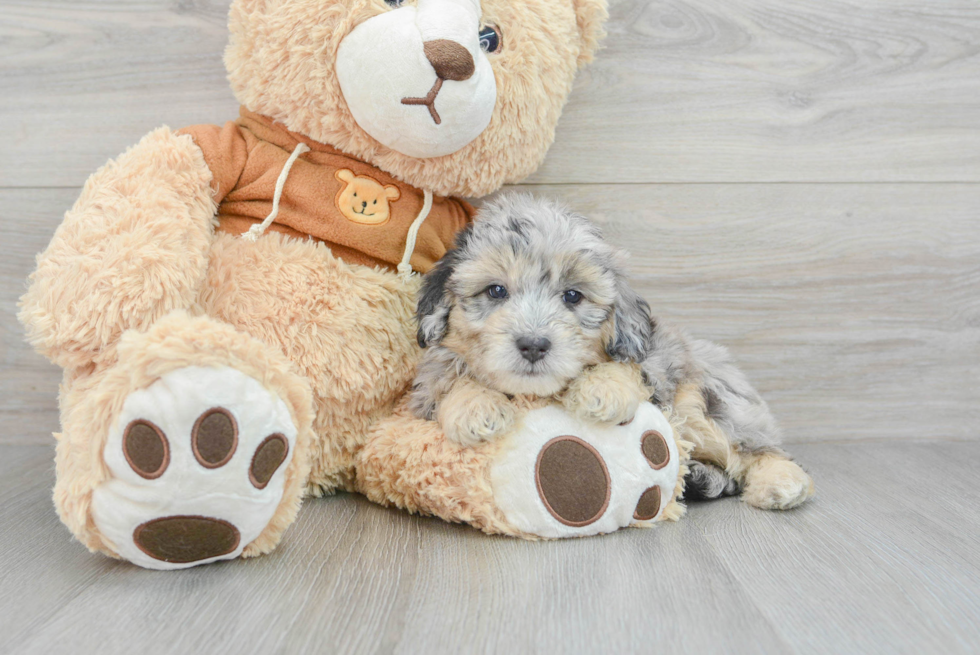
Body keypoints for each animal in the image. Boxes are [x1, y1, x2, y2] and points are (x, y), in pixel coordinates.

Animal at [410, 195, 816, 512]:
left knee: (757, 450)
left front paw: (600, 390)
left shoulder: (653, 366)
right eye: (495, 291)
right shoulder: (425, 389)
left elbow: (624, 368)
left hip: (707, 405)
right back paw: (700, 478)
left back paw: (780, 482)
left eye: (573, 296)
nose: (534, 344)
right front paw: (475, 406)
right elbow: (449, 377)